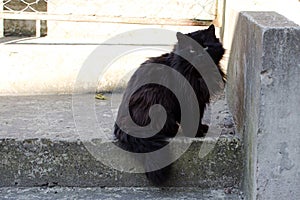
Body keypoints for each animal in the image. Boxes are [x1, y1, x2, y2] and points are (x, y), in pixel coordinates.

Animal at [113, 25, 225, 186]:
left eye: (206, 47)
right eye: (191, 50)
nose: (199, 56)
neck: (199, 74)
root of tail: (123, 126)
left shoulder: (199, 100)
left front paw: (202, 128)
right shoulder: (188, 99)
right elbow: (192, 119)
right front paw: (196, 133)